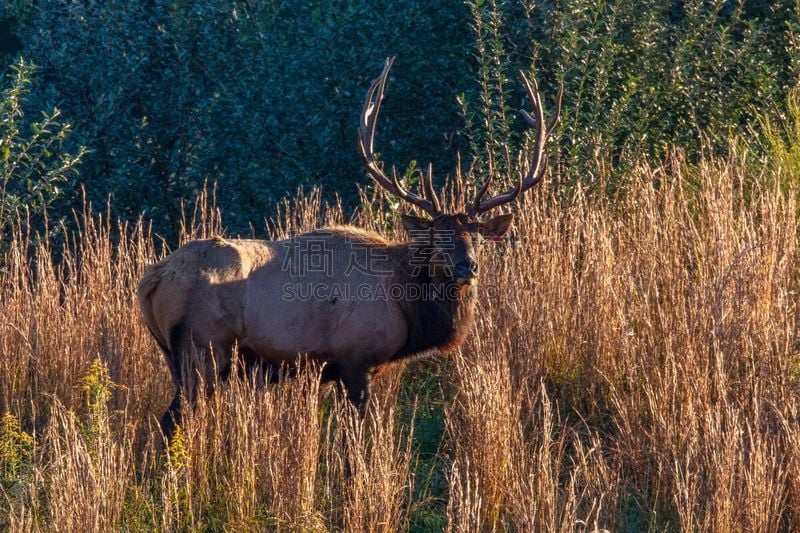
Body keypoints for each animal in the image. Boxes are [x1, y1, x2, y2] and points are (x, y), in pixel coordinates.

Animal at [138, 57, 564, 436]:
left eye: (475, 235)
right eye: (435, 237)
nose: (466, 267)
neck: (407, 305)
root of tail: (152, 280)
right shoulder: (355, 359)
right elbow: (357, 437)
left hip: (176, 356)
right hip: (203, 348)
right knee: (170, 421)